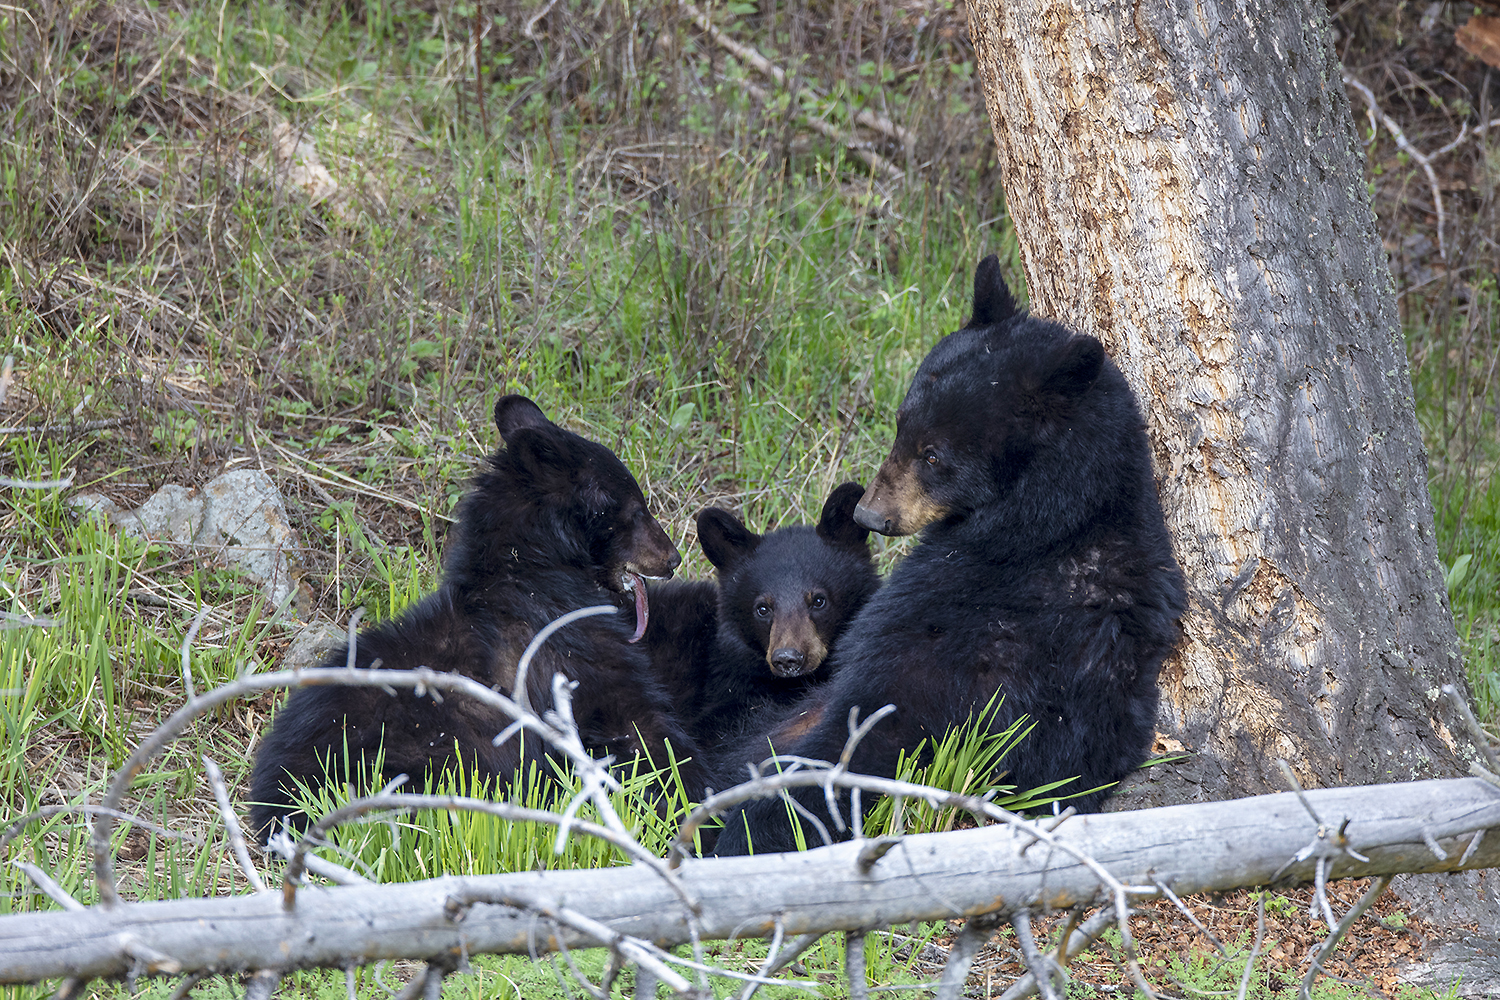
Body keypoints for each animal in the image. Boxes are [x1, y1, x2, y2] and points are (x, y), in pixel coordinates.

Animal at [249, 395, 707, 840]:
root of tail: (274, 805)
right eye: (635, 509)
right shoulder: (573, 658)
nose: (673, 559)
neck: (536, 575)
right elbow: (641, 731)